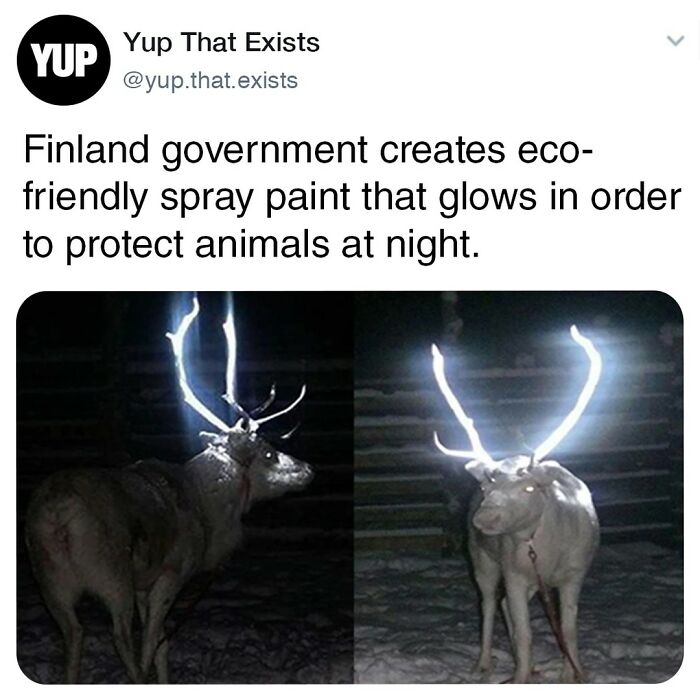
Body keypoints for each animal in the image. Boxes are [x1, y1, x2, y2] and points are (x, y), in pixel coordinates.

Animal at [24, 296, 313, 684]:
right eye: (268, 453)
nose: (309, 470)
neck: (208, 515)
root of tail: (58, 513)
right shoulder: (169, 574)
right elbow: (153, 642)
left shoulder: (144, 586)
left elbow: (162, 644)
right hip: (111, 572)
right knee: (120, 638)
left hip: (49, 580)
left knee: (73, 635)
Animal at [431, 325, 601, 683]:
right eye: (487, 485)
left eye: (529, 487)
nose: (486, 517)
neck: (543, 550)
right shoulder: (514, 573)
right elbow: (524, 632)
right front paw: (520, 676)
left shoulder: (575, 573)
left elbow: (568, 629)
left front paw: (573, 673)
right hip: (482, 560)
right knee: (489, 606)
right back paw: (484, 664)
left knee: (506, 608)